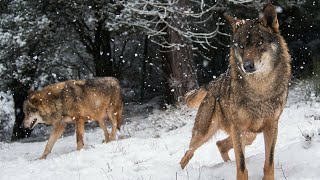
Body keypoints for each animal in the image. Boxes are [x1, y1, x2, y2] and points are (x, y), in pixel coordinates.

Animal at [181, 3, 292, 180]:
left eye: (259, 42)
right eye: (241, 46)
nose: (247, 66)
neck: (260, 89)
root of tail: (212, 85)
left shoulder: (272, 126)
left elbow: (269, 162)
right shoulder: (238, 128)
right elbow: (242, 165)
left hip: (241, 133)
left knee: (221, 143)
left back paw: (226, 164)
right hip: (204, 133)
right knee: (188, 153)